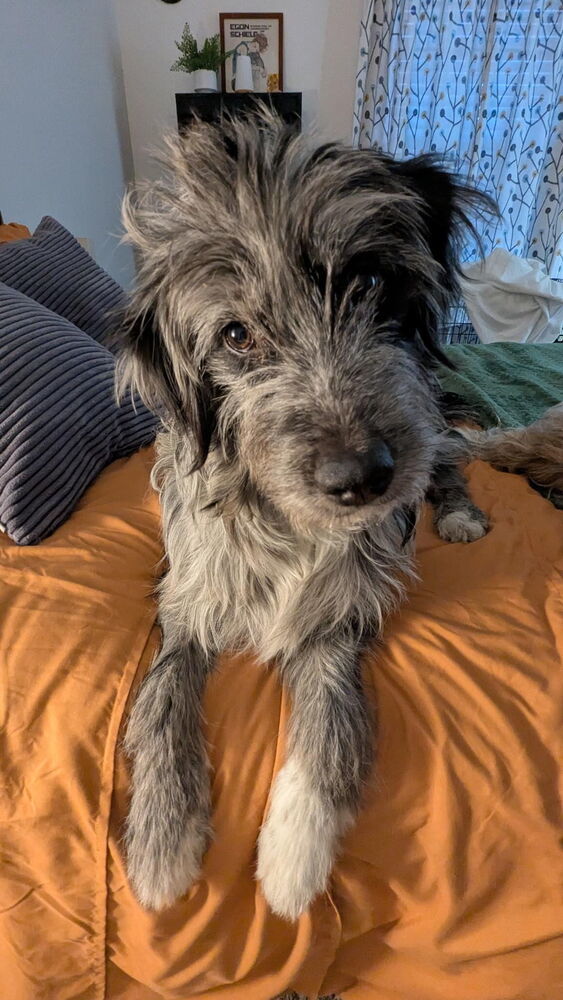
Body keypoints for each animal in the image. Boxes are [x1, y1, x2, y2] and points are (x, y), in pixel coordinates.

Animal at [115, 113, 502, 916]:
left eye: (368, 280)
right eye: (236, 335)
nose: (363, 479)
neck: (285, 521)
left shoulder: (340, 618)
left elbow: (330, 720)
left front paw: (295, 854)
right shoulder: (183, 603)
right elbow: (160, 699)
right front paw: (162, 843)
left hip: (429, 420)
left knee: (448, 458)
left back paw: (458, 516)